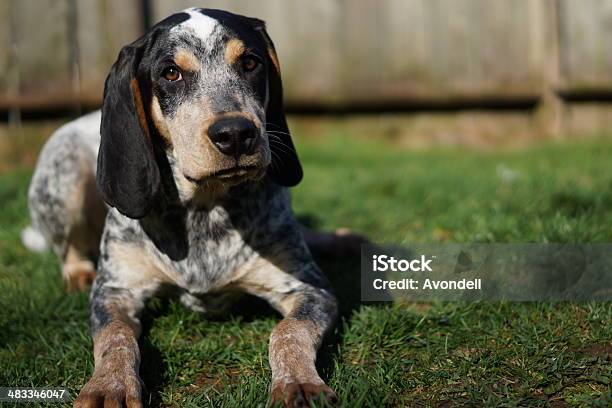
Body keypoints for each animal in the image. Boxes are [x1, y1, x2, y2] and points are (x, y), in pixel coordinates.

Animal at [22, 7, 350, 406]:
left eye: (250, 63)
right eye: (170, 73)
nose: (236, 134)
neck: (204, 207)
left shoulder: (310, 289)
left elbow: (288, 333)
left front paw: (300, 383)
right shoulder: (114, 291)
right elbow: (115, 338)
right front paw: (108, 385)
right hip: (64, 172)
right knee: (69, 249)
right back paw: (78, 272)